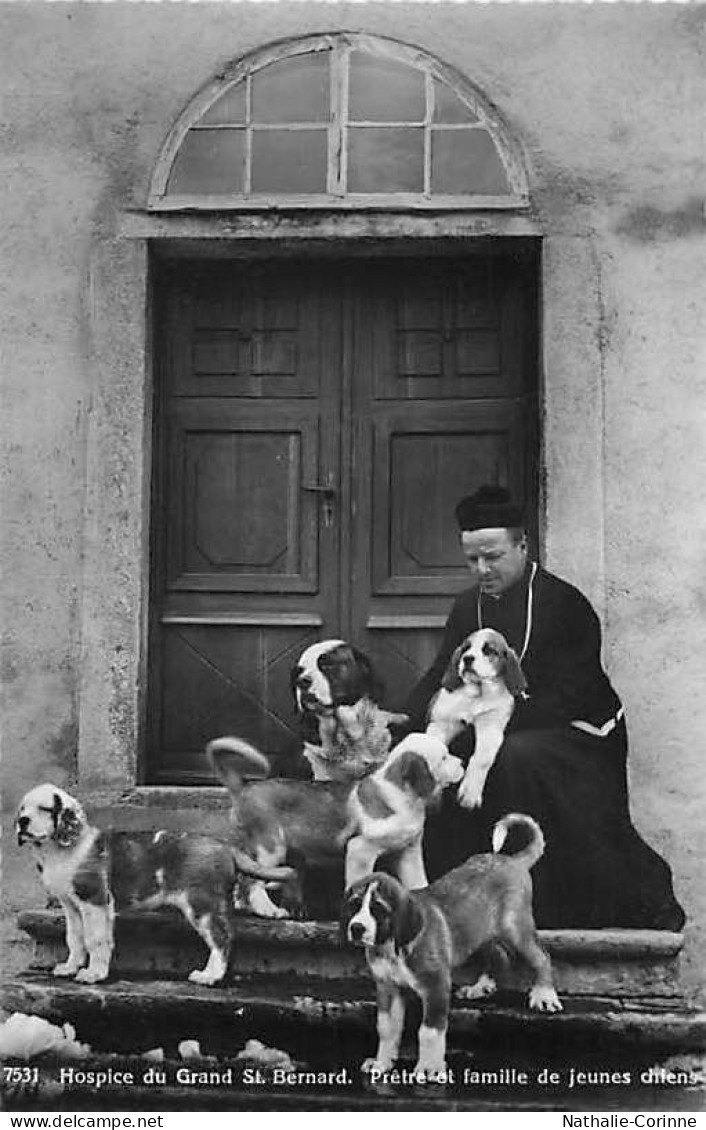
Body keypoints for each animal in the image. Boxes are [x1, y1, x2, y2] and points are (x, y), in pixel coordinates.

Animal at [14, 781, 293, 985]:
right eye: (23, 809)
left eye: (44, 809)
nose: (22, 822)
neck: (59, 850)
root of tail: (225, 846)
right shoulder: (71, 905)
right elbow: (74, 938)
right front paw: (70, 967)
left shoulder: (94, 901)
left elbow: (96, 940)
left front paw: (94, 974)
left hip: (202, 905)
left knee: (221, 939)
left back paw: (209, 977)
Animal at [341, 809, 562, 1080]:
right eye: (354, 905)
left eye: (378, 909)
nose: (356, 928)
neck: (392, 946)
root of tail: (511, 860)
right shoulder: (387, 988)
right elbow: (386, 1029)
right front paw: (382, 1063)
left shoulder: (436, 987)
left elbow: (428, 1033)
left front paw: (429, 1068)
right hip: (479, 932)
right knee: (498, 954)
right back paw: (481, 987)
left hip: (515, 929)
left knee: (541, 957)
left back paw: (544, 996)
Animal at [426, 628, 526, 813]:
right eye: (466, 648)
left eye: (489, 650)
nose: (467, 658)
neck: (476, 696)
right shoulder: (440, 724)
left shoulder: (491, 728)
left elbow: (481, 759)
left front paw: (470, 793)